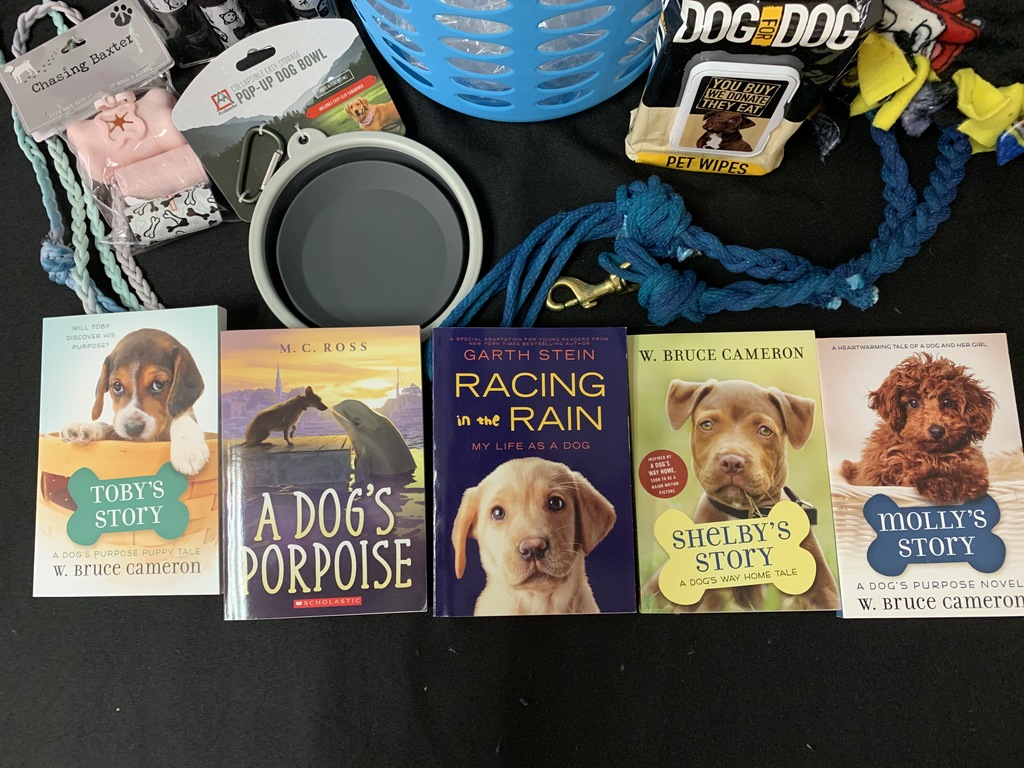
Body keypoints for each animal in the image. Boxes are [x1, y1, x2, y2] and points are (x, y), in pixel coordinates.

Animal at [60, 328, 210, 476]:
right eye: (117, 386)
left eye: (158, 384)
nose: (132, 428)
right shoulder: (120, 434)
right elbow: (108, 426)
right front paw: (84, 427)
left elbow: (182, 417)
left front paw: (188, 449)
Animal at [645, 379, 840, 611]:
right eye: (707, 425)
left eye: (764, 430)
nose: (732, 461)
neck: (744, 515)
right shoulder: (717, 595)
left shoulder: (824, 593)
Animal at [841, 353, 995, 504]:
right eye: (913, 402)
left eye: (947, 402)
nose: (936, 431)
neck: (928, 453)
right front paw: (939, 481)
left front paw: (961, 480)